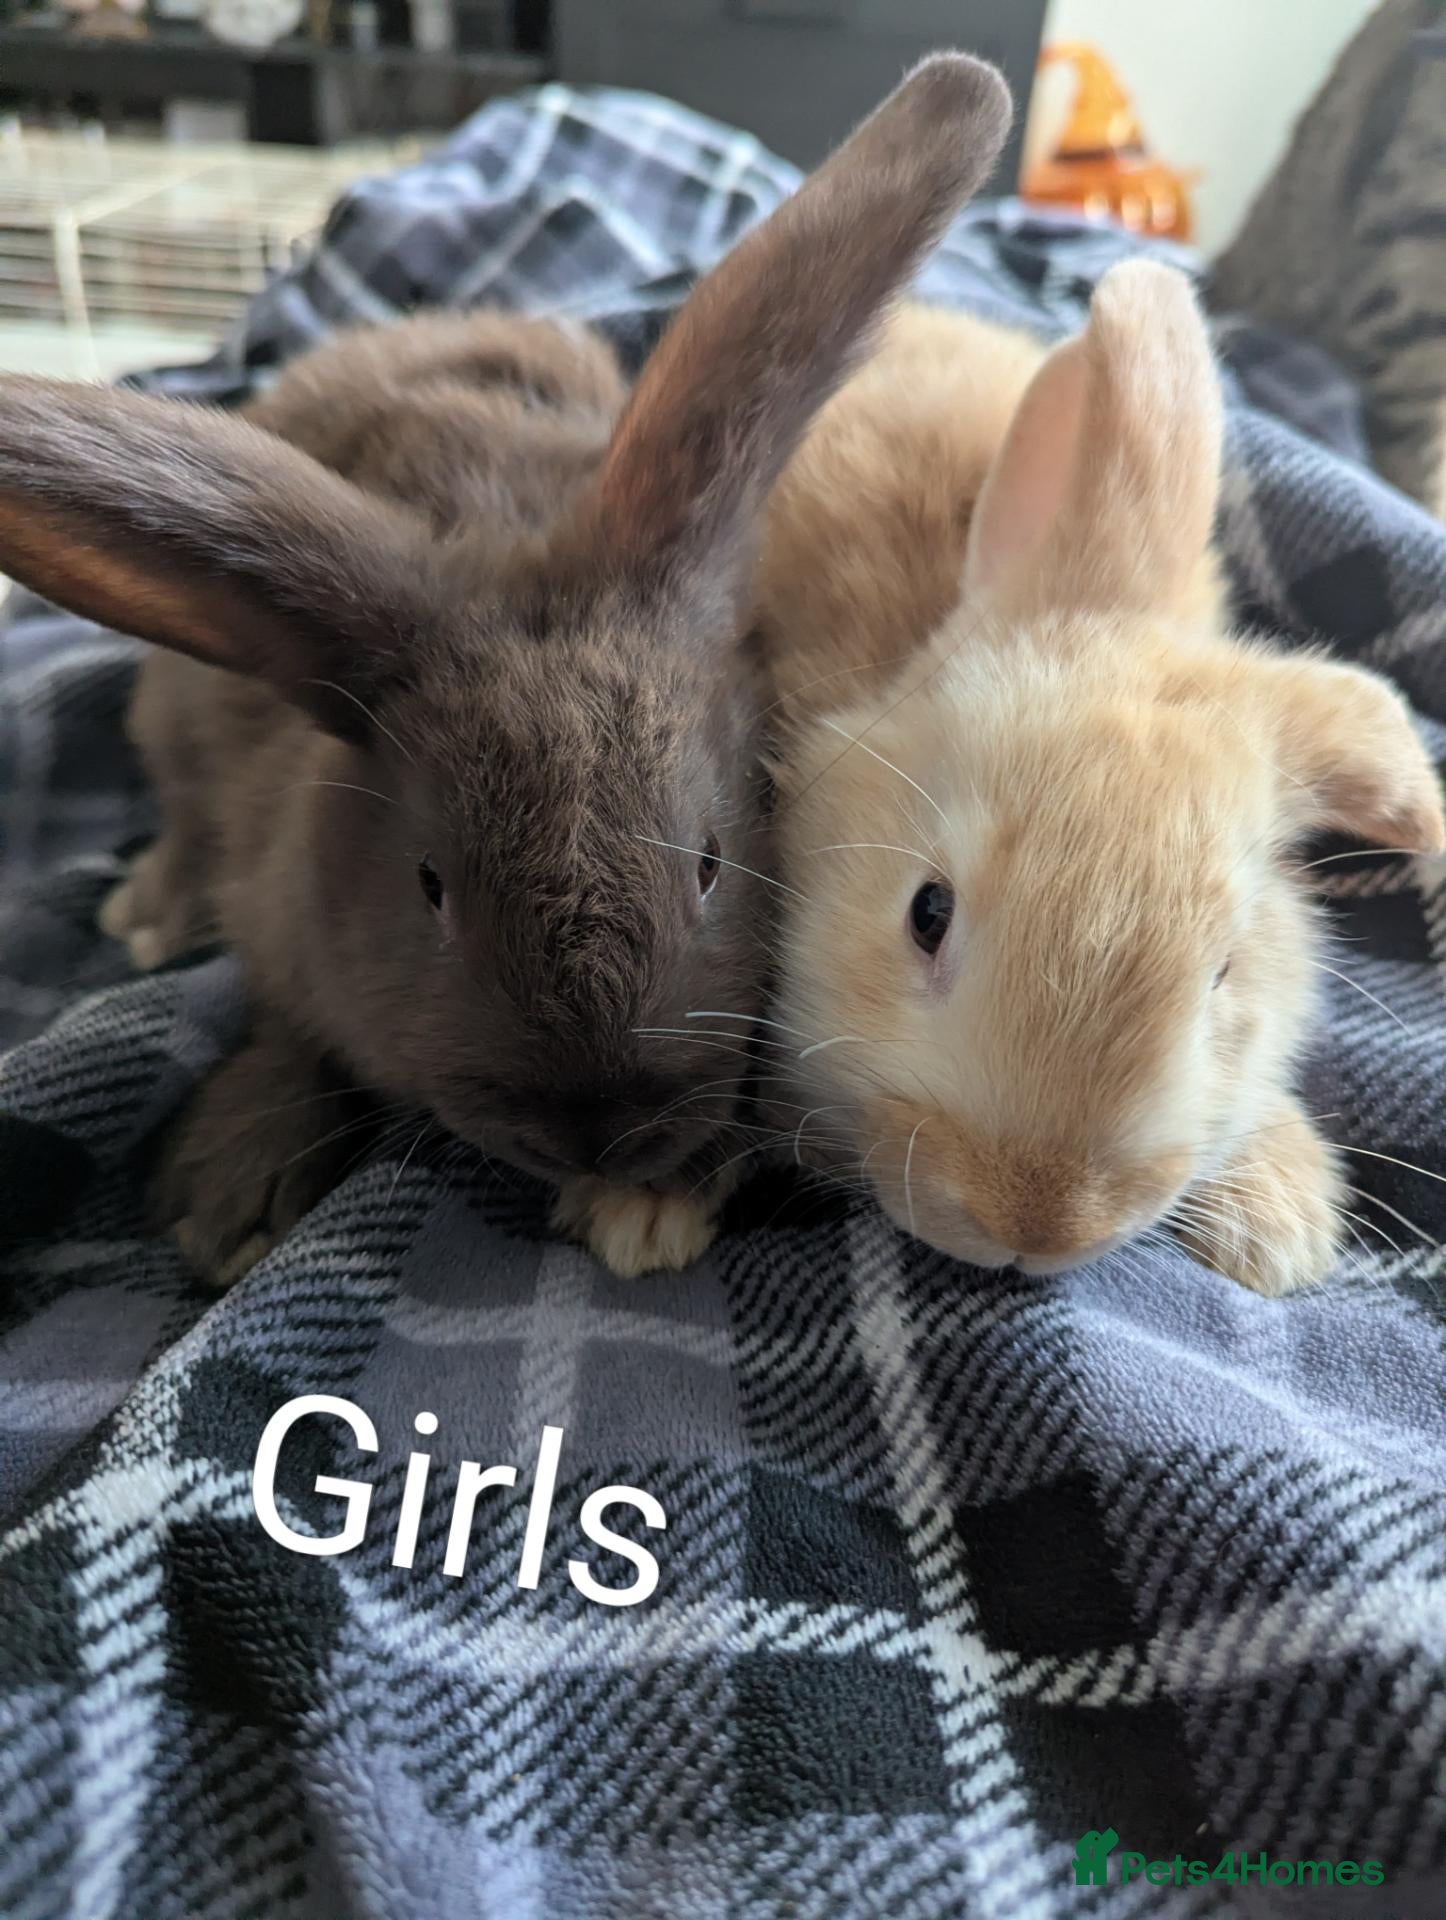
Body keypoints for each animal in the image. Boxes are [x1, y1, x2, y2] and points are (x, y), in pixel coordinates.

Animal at [0, 53, 1012, 1287]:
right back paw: (150, 910)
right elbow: (288, 1033)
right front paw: (232, 1196)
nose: (599, 1126)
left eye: (711, 863)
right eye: (430, 885)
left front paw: (650, 1204)